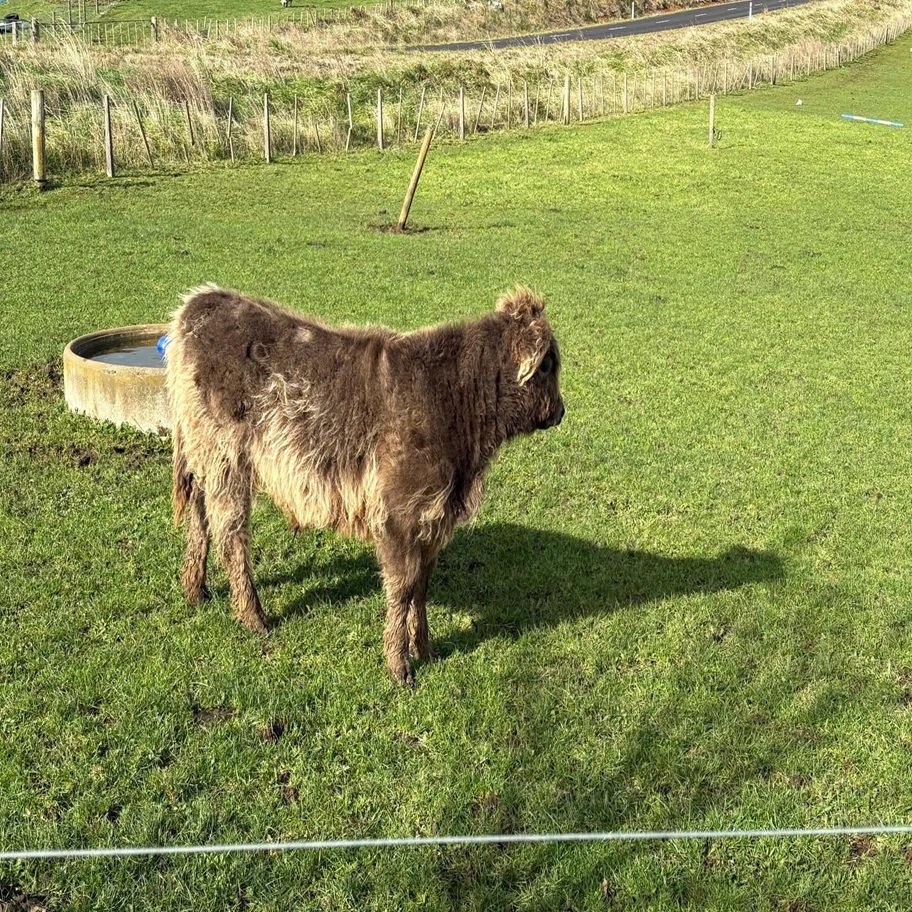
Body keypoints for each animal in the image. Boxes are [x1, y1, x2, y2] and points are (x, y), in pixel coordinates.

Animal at [166, 284, 564, 684]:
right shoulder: (399, 514)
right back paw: (253, 615)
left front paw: (426, 649)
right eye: (547, 364)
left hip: (204, 454)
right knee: (230, 533)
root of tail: (204, 298)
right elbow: (402, 588)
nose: (560, 411)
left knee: (200, 513)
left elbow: (421, 587)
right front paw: (399, 664)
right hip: (224, 456)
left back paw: (196, 589)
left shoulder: (433, 519)